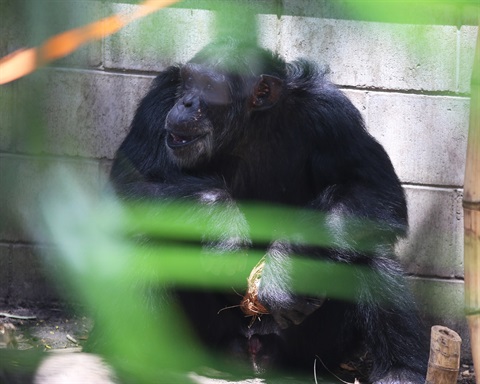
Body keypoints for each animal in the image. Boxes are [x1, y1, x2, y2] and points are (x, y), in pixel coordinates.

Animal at [108, 36, 428, 384]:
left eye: (209, 86)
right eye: (188, 81)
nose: (187, 103)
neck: (247, 128)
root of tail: (252, 355)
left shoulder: (333, 116)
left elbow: (371, 186)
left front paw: (286, 267)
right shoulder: (158, 102)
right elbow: (131, 184)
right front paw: (222, 220)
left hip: (309, 350)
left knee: (368, 247)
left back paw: (401, 371)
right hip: (207, 340)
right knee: (145, 242)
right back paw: (143, 363)